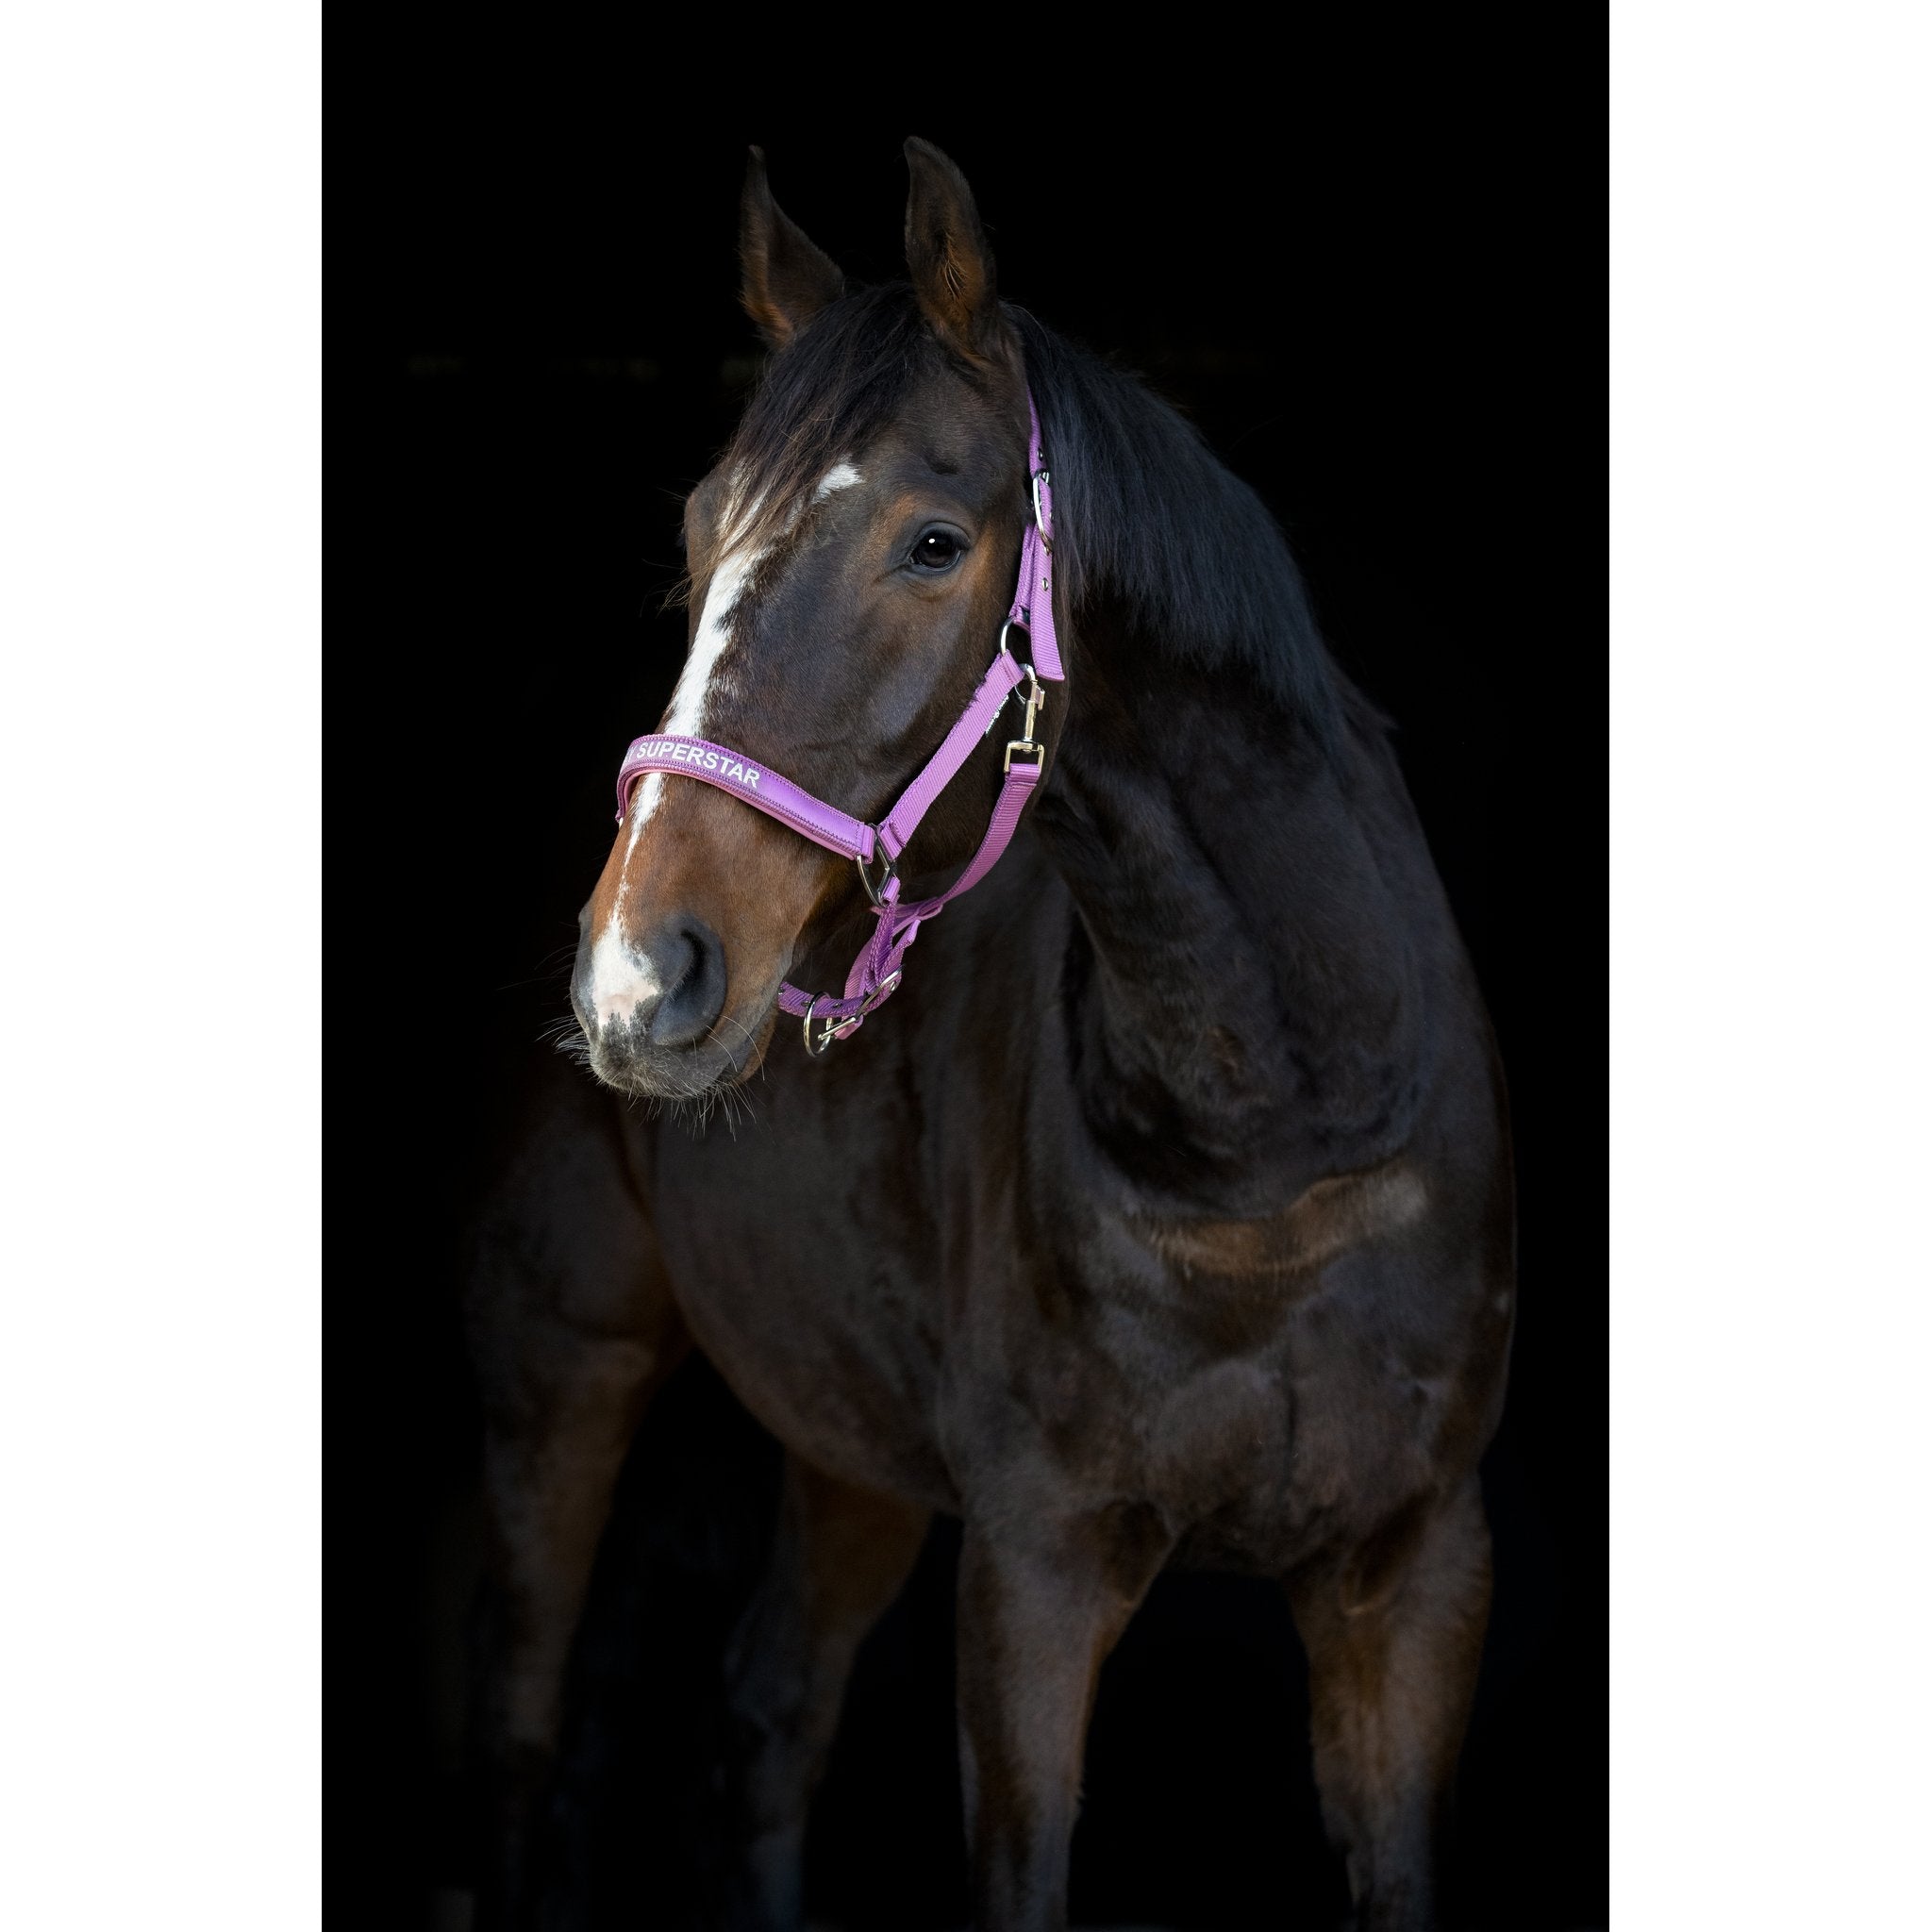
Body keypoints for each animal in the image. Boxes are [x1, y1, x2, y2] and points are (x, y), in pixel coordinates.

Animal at [465, 137, 1515, 1932]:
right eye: (698, 528)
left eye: (933, 539)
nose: (635, 978)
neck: (1284, 1130)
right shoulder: (1037, 1566)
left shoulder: (1416, 1573)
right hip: (565, 1359)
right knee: (526, 1744)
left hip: (845, 1442)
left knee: (769, 1709)